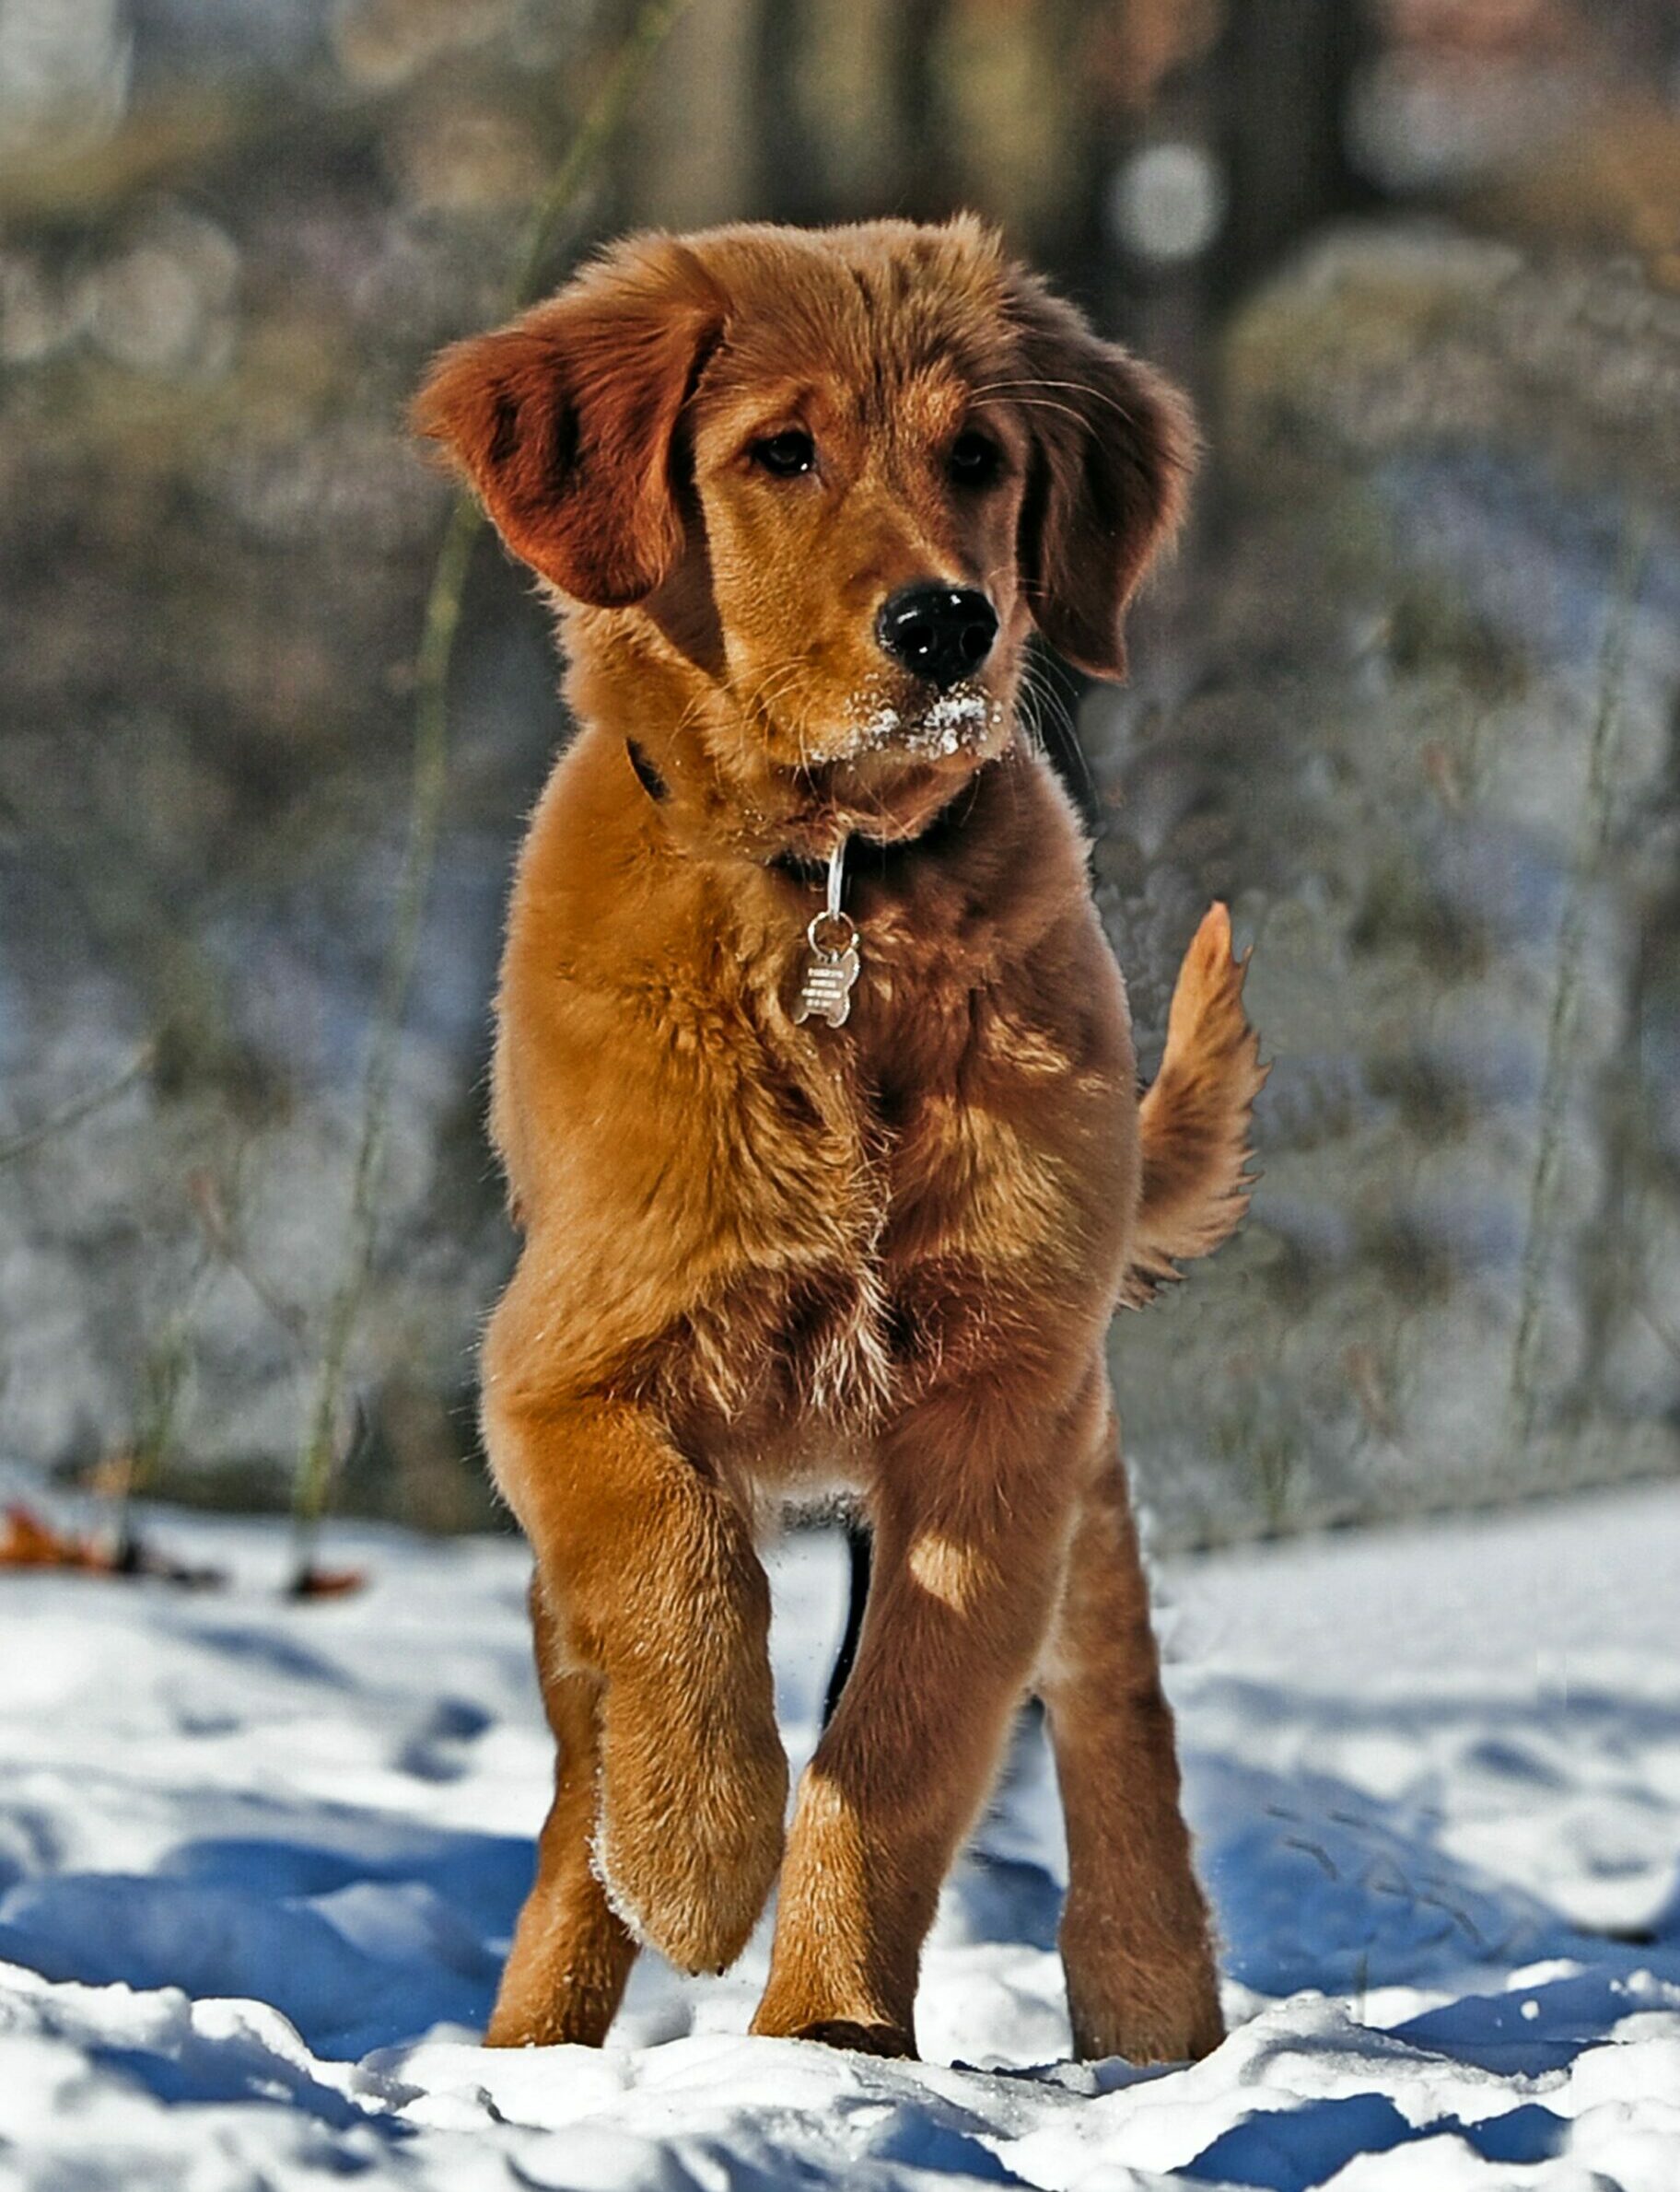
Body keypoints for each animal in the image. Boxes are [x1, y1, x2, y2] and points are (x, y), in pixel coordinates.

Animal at [416, 214, 1263, 2060]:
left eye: (980, 459)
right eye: (780, 452)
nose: (948, 624)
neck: (836, 903)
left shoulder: (1003, 1406)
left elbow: (897, 1749)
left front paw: (826, 2035)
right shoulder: (566, 1370)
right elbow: (681, 1589)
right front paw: (694, 1858)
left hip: (1080, 1458)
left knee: (1113, 1705)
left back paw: (1152, 2006)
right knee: (578, 1765)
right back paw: (541, 2022)